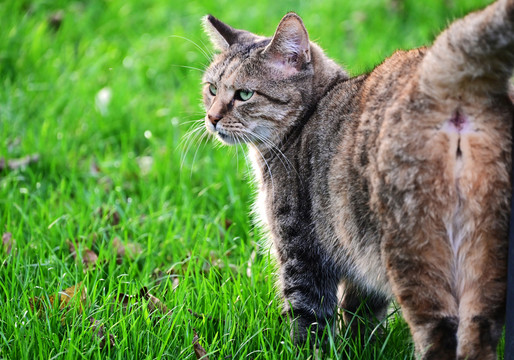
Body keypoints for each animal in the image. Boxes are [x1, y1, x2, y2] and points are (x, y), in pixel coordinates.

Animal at [199, 1, 512, 358]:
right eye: (211, 89)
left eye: (244, 94)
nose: (211, 117)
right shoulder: (359, 260)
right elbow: (361, 313)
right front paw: (361, 345)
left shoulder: (301, 250)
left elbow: (310, 318)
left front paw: (308, 351)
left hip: (415, 257)